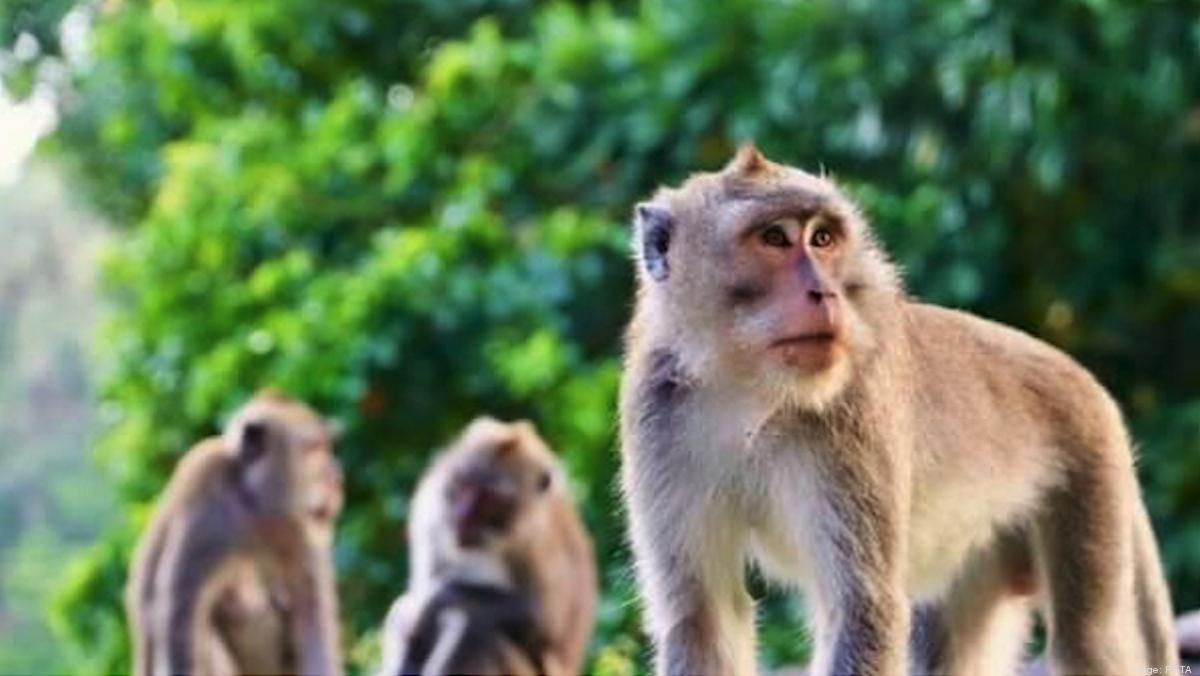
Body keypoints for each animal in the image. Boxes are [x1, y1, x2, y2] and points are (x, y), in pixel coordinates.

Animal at [126, 390, 344, 676]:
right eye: (313, 449)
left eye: (325, 447)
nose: (337, 479)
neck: (253, 506)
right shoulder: (206, 499)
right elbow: (180, 612)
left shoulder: (302, 533)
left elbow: (311, 609)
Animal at [377, 417, 596, 676]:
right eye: (464, 486)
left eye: (489, 500)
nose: (462, 518)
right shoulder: (431, 514)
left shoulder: (537, 538)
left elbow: (542, 618)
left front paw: (437, 600)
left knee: (477, 628)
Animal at [618, 144, 1177, 676]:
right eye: (774, 238)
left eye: (822, 239)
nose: (825, 291)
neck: (751, 390)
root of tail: (1083, 379)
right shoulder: (655, 417)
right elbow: (702, 617)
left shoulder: (853, 411)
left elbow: (862, 608)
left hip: (1088, 472)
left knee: (1087, 641)